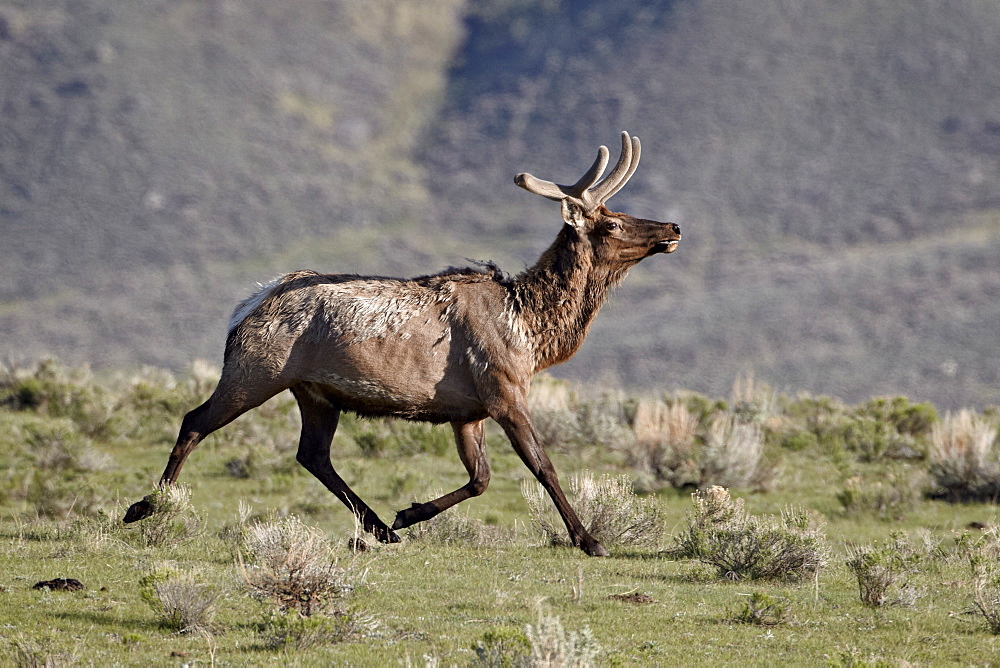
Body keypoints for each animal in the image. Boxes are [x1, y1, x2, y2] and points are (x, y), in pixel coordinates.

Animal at [121, 129, 676, 552]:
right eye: (613, 222)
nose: (672, 226)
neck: (533, 334)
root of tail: (245, 308)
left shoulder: (466, 412)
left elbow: (481, 479)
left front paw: (409, 513)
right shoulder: (503, 390)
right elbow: (542, 467)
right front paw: (590, 539)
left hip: (315, 393)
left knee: (312, 455)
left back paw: (381, 528)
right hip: (255, 371)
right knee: (195, 421)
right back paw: (147, 507)